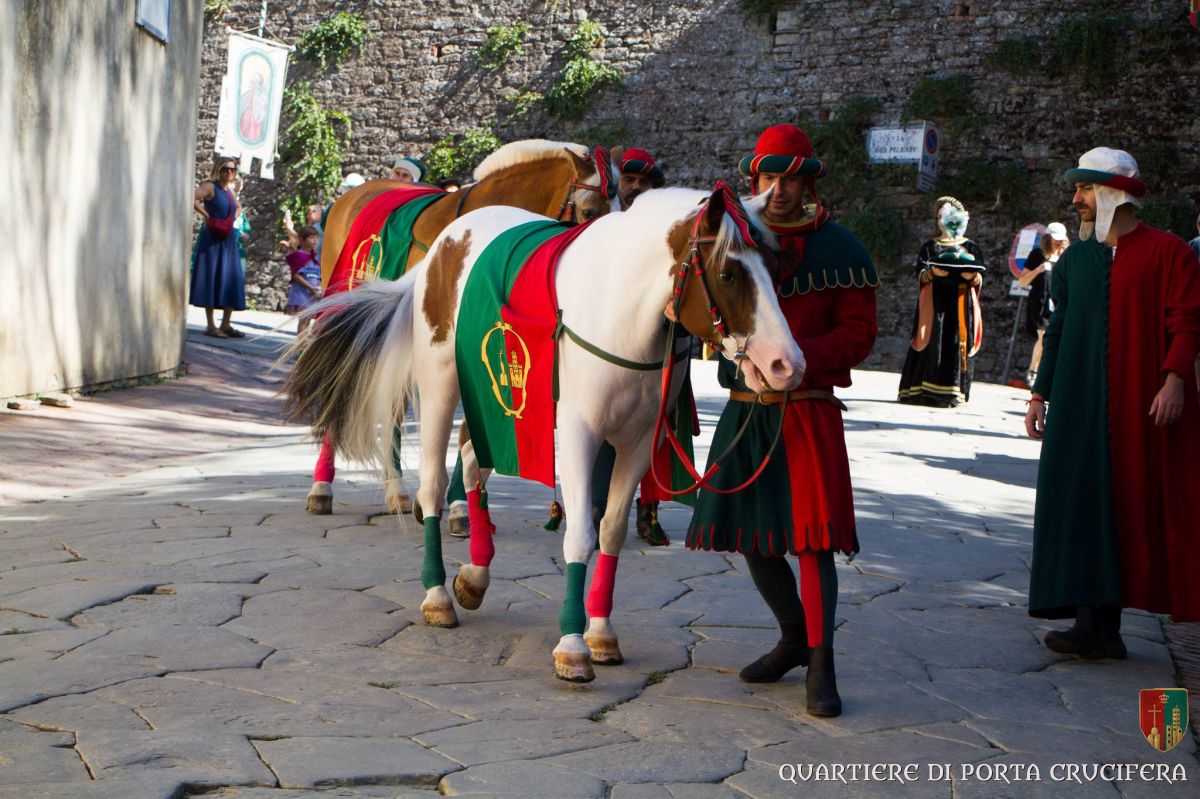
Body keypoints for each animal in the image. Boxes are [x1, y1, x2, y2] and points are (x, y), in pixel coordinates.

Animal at [284, 184, 805, 683]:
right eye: (729, 274)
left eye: (775, 268)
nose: (788, 365)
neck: (619, 308)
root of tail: (442, 246)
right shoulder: (578, 434)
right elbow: (580, 535)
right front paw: (572, 646)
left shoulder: (637, 442)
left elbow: (611, 531)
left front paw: (601, 633)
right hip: (441, 388)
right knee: (432, 485)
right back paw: (437, 594)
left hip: (494, 408)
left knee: (470, 461)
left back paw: (474, 575)